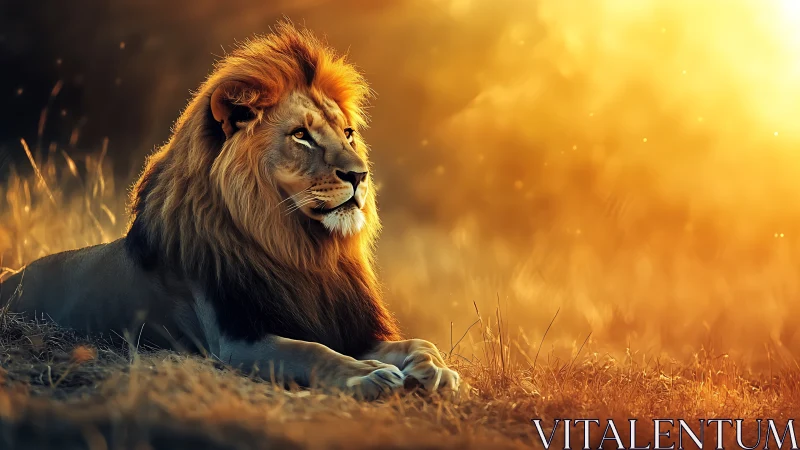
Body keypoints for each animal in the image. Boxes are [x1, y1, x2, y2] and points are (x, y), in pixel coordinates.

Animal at [0, 22, 460, 400]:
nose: (360, 175)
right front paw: (368, 375)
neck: (298, 250)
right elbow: (312, 351)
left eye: (347, 133)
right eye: (301, 135)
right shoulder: (235, 339)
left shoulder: (340, 322)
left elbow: (418, 343)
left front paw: (434, 369)